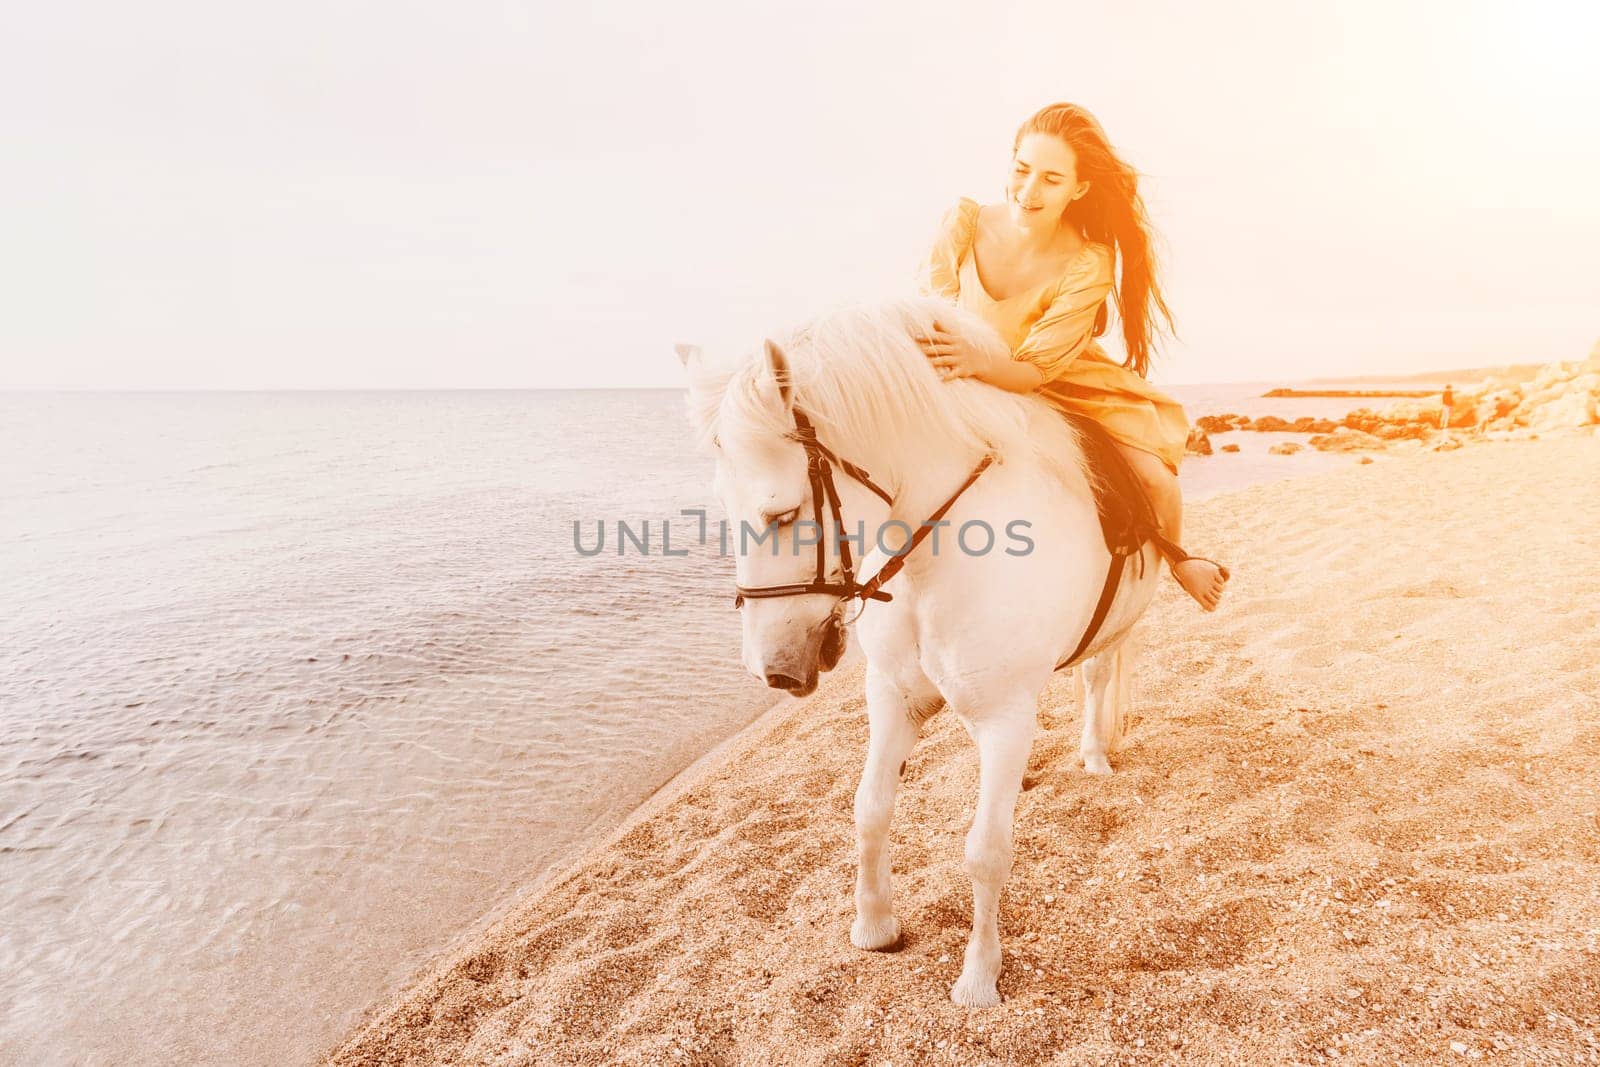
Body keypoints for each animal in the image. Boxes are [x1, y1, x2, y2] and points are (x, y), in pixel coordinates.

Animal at [678, 294, 1164, 1011]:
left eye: (783, 513)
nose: (774, 668)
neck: (939, 557)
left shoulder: (1003, 716)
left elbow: (985, 851)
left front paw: (979, 976)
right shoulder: (894, 696)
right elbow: (870, 809)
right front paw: (875, 925)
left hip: (1118, 629)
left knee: (1098, 677)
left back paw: (1095, 754)